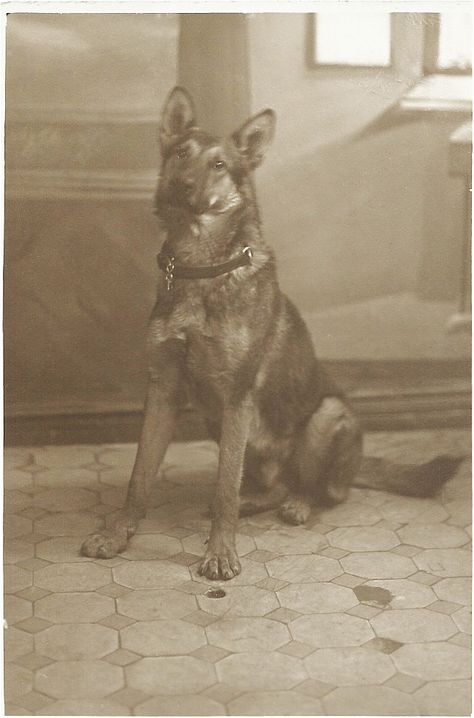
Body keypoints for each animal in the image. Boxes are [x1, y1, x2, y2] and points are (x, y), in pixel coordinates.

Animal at [82, 87, 462, 584]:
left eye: (219, 164)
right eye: (180, 153)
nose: (181, 185)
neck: (202, 267)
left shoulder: (237, 397)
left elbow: (224, 485)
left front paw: (220, 553)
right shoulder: (163, 391)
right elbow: (139, 476)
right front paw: (117, 534)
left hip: (325, 416)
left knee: (323, 491)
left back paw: (301, 504)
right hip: (222, 424)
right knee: (274, 485)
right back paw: (258, 501)